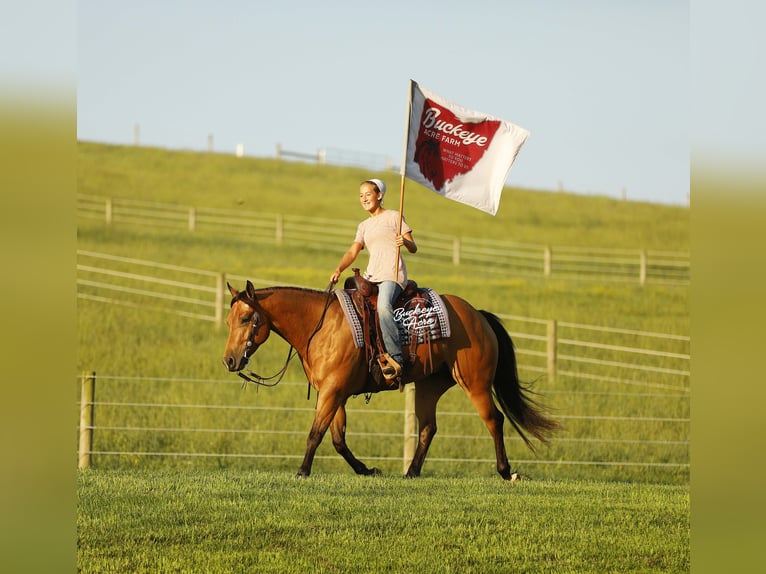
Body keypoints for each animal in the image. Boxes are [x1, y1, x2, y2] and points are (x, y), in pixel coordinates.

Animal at [221, 280, 559, 480]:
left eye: (245, 318)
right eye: (228, 320)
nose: (230, 360)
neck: (321, 325)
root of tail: (477, 315)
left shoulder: (332, 392)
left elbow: (316, 434)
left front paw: (302, 471)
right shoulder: (334, 393)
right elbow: (338, 439)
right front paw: (367, 469)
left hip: (475, 383)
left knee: (494, 420)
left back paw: (506, 471)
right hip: (429, 386)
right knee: (428, 427)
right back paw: (412, 471)